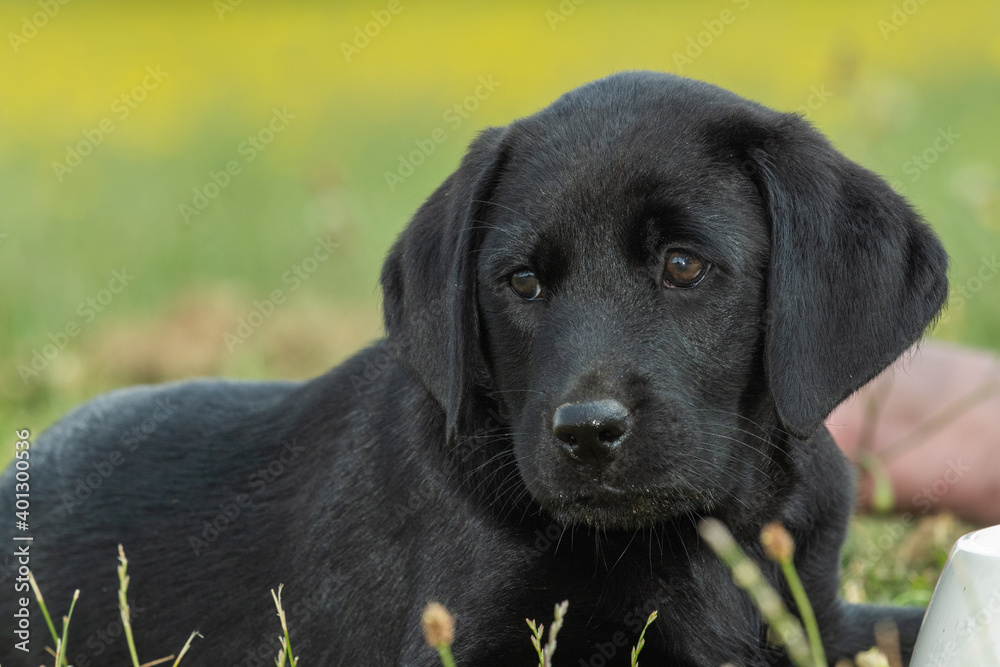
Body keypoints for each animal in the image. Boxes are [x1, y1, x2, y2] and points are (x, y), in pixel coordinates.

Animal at [1, 70, 944, 664]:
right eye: (521, 282)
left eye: (683, 265)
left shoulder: (817, 617)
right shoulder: (468, 634)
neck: (698, 531)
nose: (586, 433)